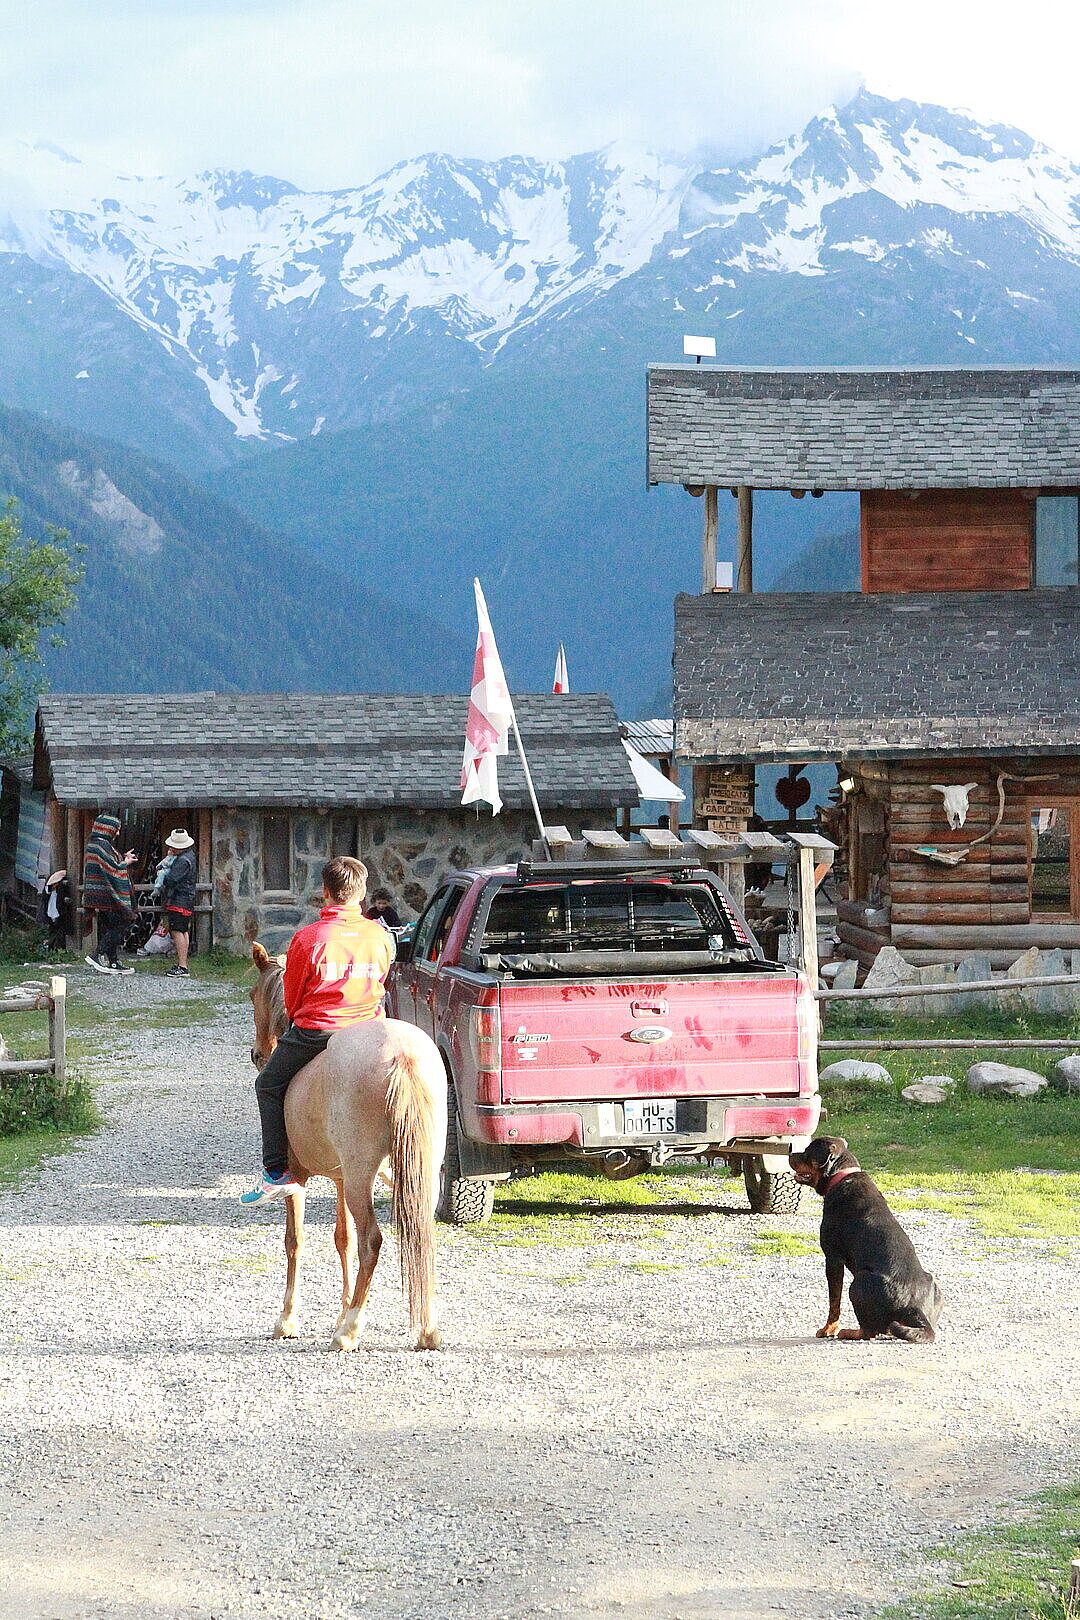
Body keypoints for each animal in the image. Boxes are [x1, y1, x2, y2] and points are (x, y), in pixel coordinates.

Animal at [248, 942, 447, 1351]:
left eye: (252, 994)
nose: (258, 1055)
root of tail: (401, 1054)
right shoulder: (339, 1179)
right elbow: (344, 1240)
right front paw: (338, 1311)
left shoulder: (299, 1178)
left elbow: (295, 1240)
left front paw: (287, 1319)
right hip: (417, 1173)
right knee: (421, 1232)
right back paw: (426, 1328)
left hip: (361, 1178)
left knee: (373, 1240)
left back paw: (349, 1331)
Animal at [788, 1136, 943, 1342]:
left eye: (807, 1151)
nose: (790, 1152)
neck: (840, 1176)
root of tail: (914, 1308)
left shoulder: (832, 1258)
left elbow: (834, 1301)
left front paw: (829, 1329)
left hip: (859, 1283)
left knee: (870, 1331)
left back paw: (848, 1332)